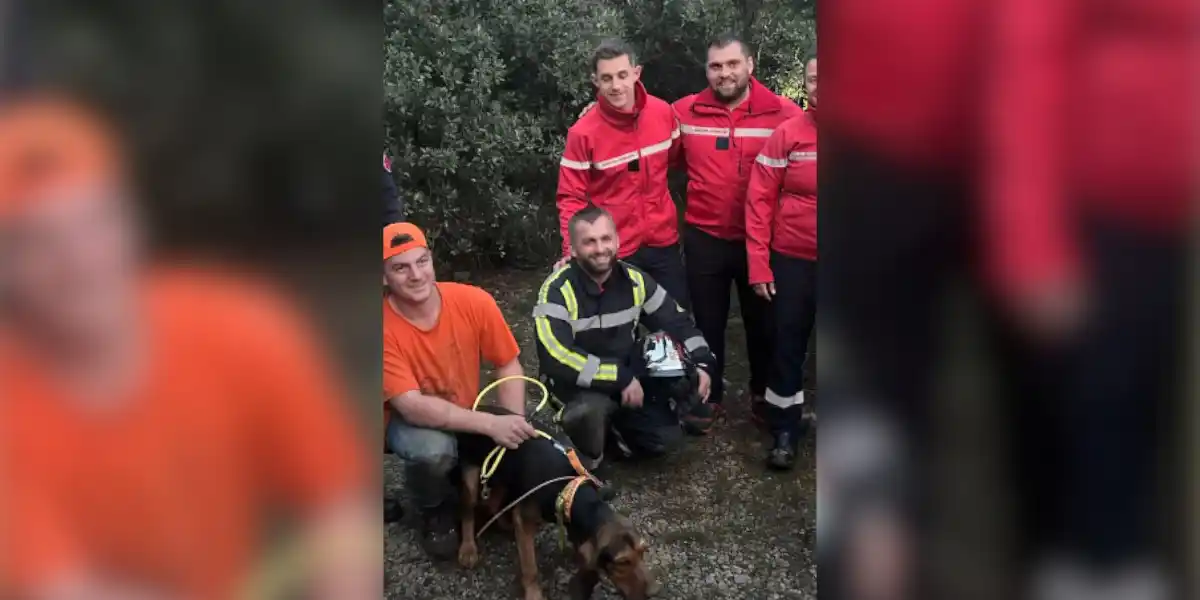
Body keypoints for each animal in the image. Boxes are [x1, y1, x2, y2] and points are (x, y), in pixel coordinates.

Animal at [453, 405, 657, 600]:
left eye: (643, 551)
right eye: (622, 562)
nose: (653, 593)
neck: (567, 489)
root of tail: (478, 409)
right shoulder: (527, 523)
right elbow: (530, 567)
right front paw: (534, 594)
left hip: (504, 476)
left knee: (494, 501)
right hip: (472, 476)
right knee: (467, 510)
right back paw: (468, 549)